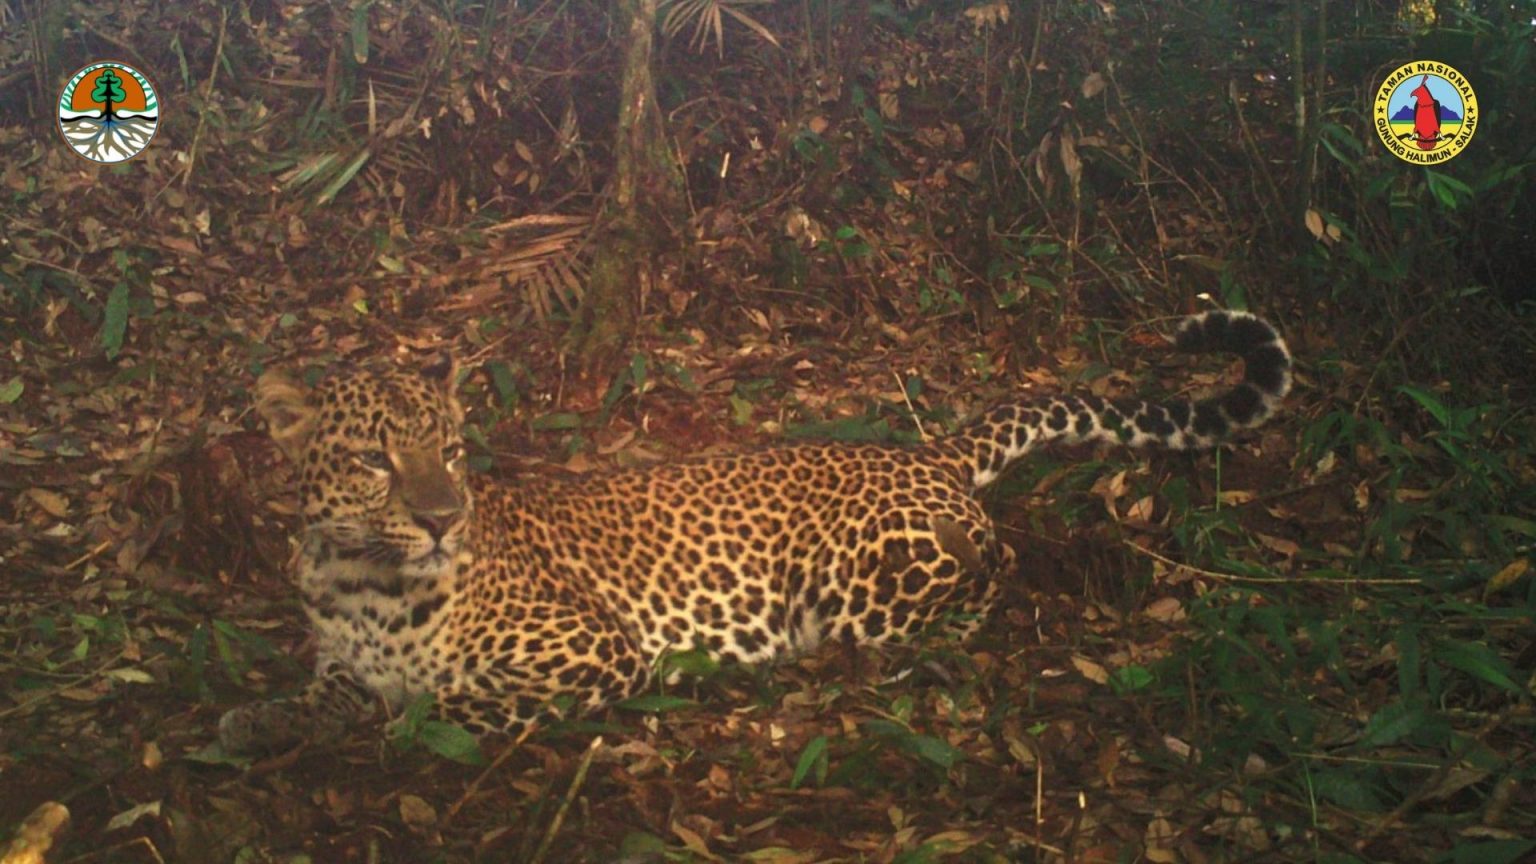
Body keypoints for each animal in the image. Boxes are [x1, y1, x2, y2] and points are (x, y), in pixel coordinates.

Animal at [217, 311, 1291, 753]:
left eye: (447, 449)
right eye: (373, 460)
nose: (443, 519)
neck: (361, 582)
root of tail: (924, 452)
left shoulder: (592, 650)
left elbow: (444, 703)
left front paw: (396, 721)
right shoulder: (338, 652)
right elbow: (325, 692)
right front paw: (261, 718)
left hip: (865, 579)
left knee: (1001, 566)